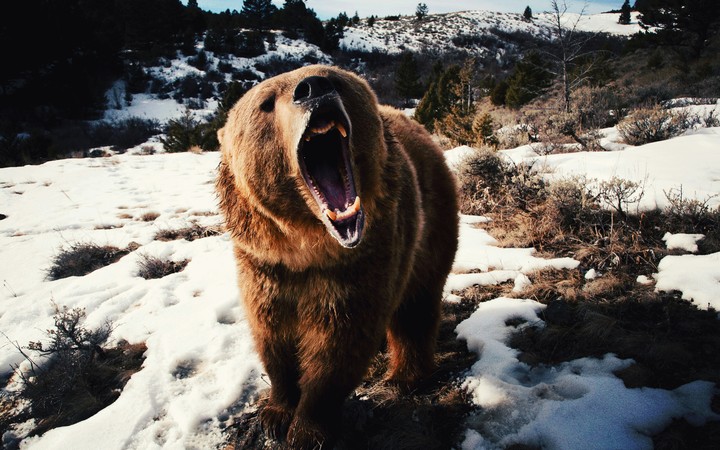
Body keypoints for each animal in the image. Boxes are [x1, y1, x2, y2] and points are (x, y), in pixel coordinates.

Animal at [216, 65, 459, 449]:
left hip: (430, 224)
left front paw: (306, 429)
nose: (313, 88)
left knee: (416, 305)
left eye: (334, 79)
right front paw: (275, 414)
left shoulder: (359, 265)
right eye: (265, 103)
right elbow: (272, 336)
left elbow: (338, 345)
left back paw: (404, 377)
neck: (307, 247)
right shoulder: (264, 266)